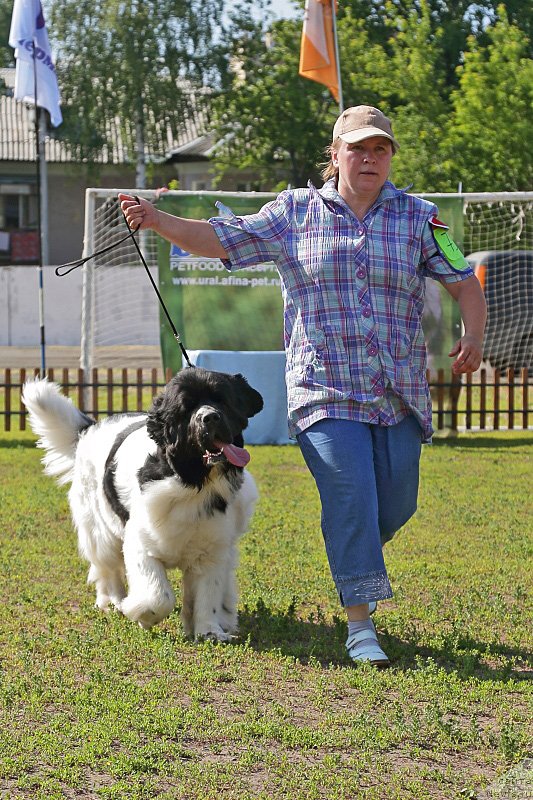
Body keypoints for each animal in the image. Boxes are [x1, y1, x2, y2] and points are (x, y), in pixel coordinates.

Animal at [22, 370, 264, 644]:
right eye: (186, 409)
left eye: (222, 400)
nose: (210, 417)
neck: (193, 484)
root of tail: (90, 429)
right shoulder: (141, 544)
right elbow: (159, 596)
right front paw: (143, 615)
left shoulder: (211, 550)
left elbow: (207, 594)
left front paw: (209, 631)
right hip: (100, 531)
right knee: (107, 569)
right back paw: (113, 602)